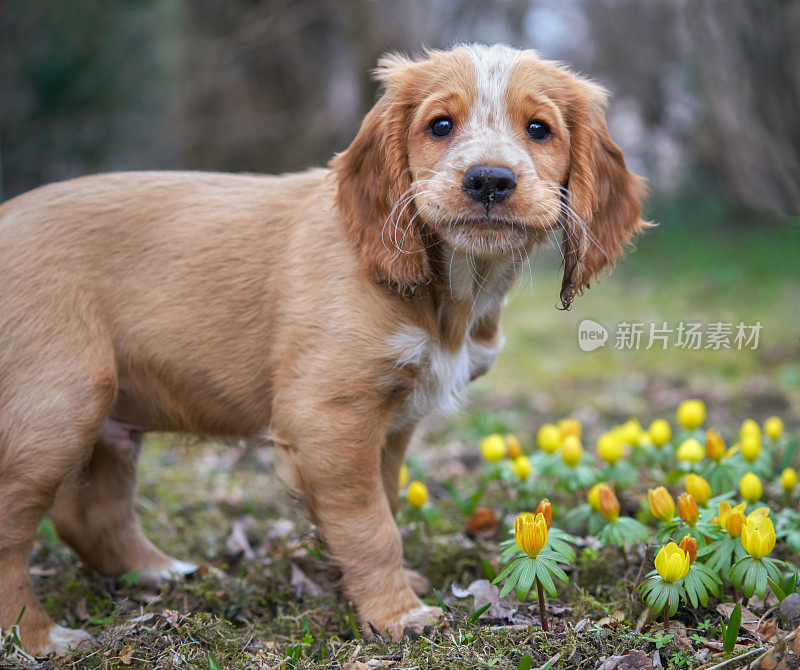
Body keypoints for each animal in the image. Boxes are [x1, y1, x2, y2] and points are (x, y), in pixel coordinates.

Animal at [0, 43, 644, 656]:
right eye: (440, 125)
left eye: (539, 129)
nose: (489, 180)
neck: (446, 289)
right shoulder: (329, 419)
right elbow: (371, 527)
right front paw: (398, 615)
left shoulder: (390, 425)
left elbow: (384, 506)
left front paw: (389, 590)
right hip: (61, 403)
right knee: (14, 531)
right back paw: (40, 638)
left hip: (107, 417)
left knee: (89, 513)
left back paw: (161, 573)